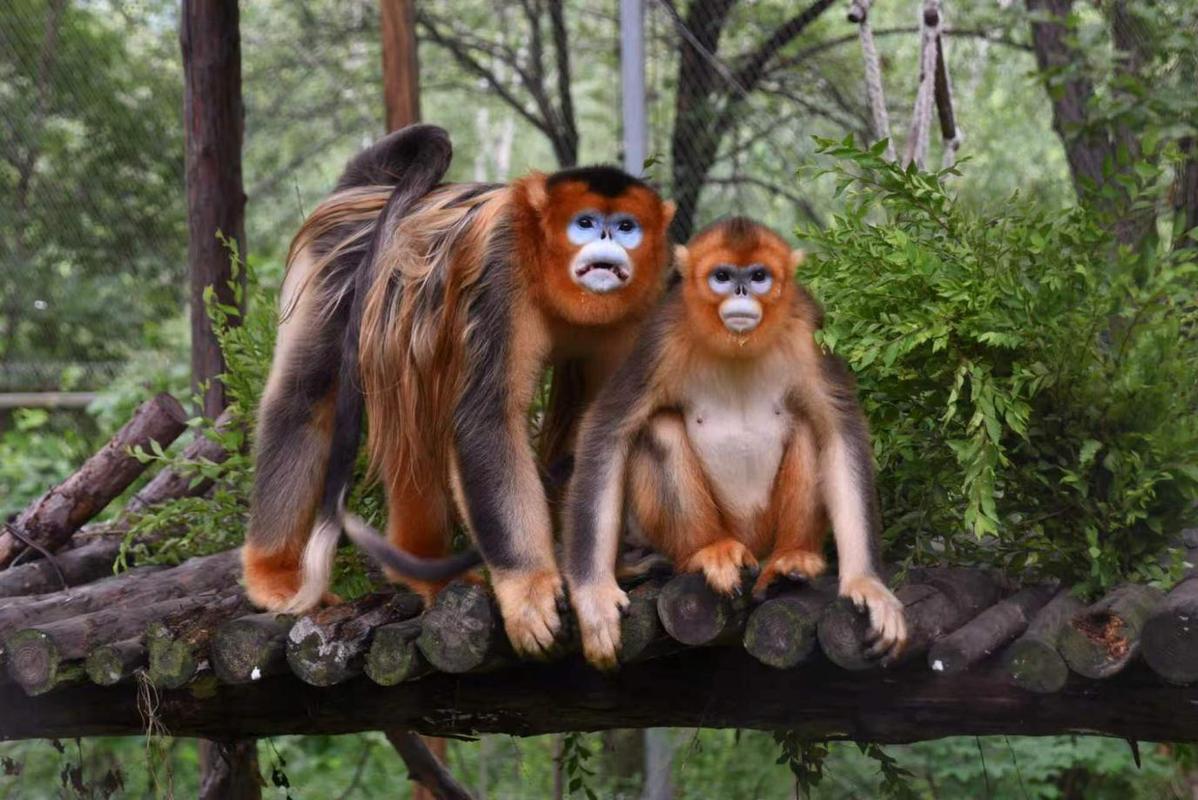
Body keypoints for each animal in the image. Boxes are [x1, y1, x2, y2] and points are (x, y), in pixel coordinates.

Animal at [242, 126, 676, 657]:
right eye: (586, 223)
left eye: (627, 226)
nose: (607, 245)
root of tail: (366, 191)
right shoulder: (502, 268)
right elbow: (487, 421)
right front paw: (527, 590)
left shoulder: (647, 299)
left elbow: (604, 427)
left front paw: (595, 580)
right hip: (335, 270)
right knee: (304, 399)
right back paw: (273, 573)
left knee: (415, 409)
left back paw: (423, 568)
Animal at [562, 217, 906, 669]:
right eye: (723, 277)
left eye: (758, 276)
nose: (742, 293)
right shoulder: (662, 334)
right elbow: (607, 430)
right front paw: (594, 597)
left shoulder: (807, 326)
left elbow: (839, 430)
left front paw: (867, 584)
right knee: (658, 431)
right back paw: (708, 552)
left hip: (764, 531)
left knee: (809, 429)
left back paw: (790, 560)